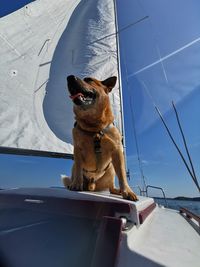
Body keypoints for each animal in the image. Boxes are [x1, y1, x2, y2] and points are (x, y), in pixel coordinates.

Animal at [62, 74, 138, 202]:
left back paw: (117, 190)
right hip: (74, 168)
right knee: (76, 172)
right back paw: (74, 184)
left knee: (111, 187)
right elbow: (78, 169)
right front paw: (76, 184)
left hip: (111, 170)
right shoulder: (77, 150)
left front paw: (127, 191)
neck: (94, 127)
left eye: (88, 79)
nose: (69, 77)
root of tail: (92, 183)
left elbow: (122, 175)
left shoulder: (117, 150)